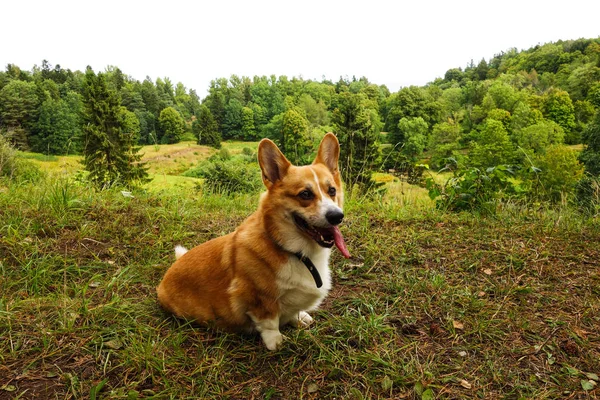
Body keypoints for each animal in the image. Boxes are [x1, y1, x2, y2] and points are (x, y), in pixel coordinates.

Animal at [156, 132, 352, 350]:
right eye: (305, 194)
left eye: (332, 191)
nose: (337, 216)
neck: (296, 252)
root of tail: (165, 278)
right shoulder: (258, 297)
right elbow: (270, 321)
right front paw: (276, 342)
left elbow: (292, 311)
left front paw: (298, 317)